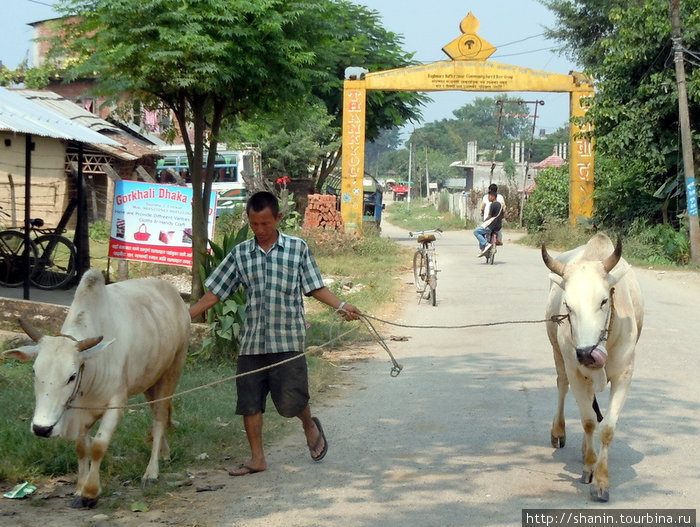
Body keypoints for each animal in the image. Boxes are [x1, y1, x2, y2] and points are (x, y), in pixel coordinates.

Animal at [2, 270, 190, 510]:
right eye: (34, 371)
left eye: (72, 376)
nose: (42, 429)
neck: (91, 369)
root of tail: (174, 294)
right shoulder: (78, 411)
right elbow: (82, 447)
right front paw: (79, 488)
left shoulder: (116, 403)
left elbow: (98, 446)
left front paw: (90, 493)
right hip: (150, 381)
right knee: (162, 415)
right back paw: (165, 454)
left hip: (172, 372)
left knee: (158, 421)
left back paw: (151, 472)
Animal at [540, 233, 644, 502]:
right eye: (568, 306)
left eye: (604, 300)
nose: (587, 353)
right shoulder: (575, 371)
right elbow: (588, 421)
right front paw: (589, 467)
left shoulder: (624, 376)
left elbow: (606, 428)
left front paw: (601, 480)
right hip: (558, 355)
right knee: (562, 386)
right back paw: (559, 433)